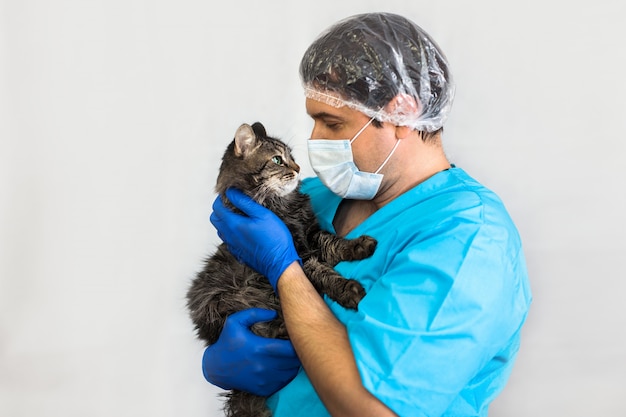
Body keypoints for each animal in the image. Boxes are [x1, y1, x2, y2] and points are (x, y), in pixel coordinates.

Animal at [185, 121, 376, 416]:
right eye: (277, 160)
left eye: (292, 157)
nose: (298, 169)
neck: (283, 207)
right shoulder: (297, 256)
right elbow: (323, 272)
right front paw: (348, 289)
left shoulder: (311, 236)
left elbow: (334, 243)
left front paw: (358, 246)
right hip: (221, 301)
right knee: (262, 331)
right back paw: (281, 335)